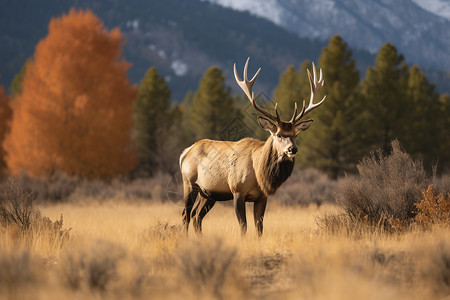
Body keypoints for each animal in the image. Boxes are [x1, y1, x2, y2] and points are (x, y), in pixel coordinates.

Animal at [180, 58, 326, 237]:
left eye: (295, 135)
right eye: (279, 134)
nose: (293, 149)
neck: (259, 174)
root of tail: (185, 152)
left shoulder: (262, 197)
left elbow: (259, 227)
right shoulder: (237, 191)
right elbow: (243, 226)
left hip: (208, 193)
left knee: (196, 217)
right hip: (189, 183)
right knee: (186, 215)